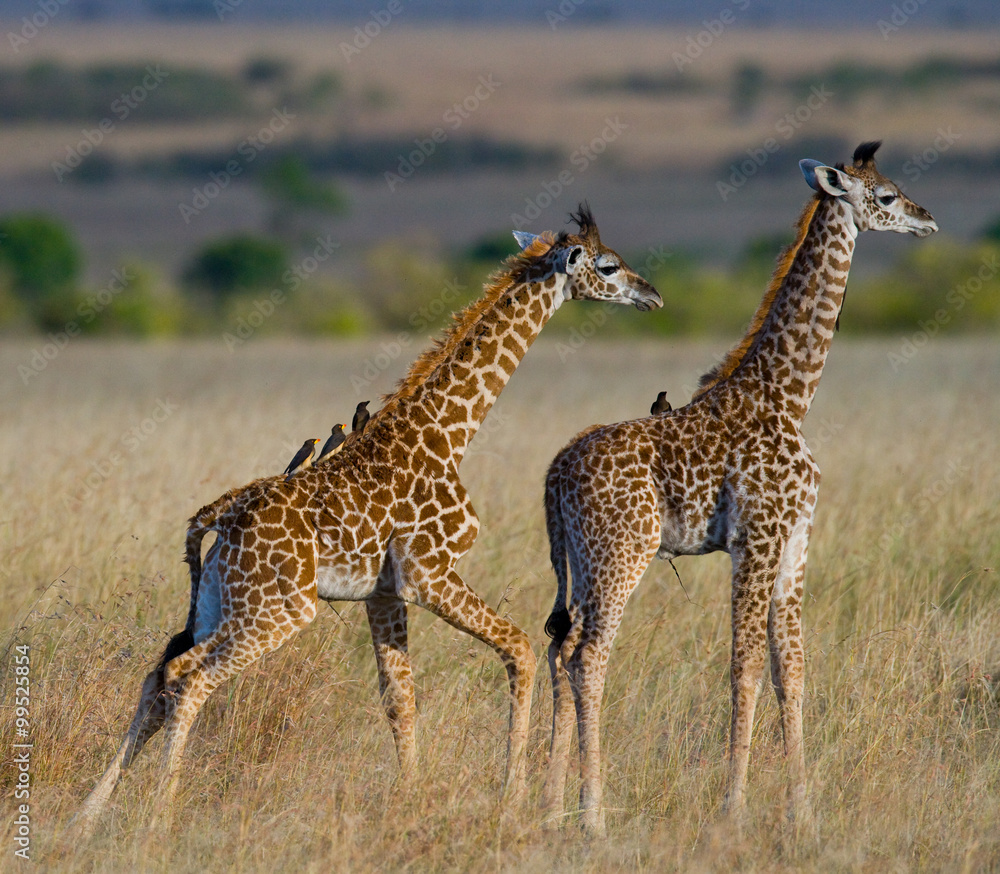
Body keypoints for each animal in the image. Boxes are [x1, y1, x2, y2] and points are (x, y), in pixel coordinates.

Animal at [77, 206, 662, 830]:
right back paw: (160, 814)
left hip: (218, 601)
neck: (449, 434)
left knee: (158, 674)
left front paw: (411, 798)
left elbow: (399, 698)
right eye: (608, 265)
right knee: (189, 679)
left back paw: (87, 813)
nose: (652, 294)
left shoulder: (382, 592)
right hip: (279, 610)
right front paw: (511, 797)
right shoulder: (429, 573)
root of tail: (218, 516)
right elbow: (519, 648)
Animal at [540, 143, 937, 834]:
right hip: (623, 554)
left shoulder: (796, 541)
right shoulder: (756, 538)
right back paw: (593, 817)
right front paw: (734, 809)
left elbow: (792, 670)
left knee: (562, 652)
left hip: (580, 561)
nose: (927, 219)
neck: (790, 394)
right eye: (885, 196)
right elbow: (744, 667)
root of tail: (556, 472)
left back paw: (553, 807)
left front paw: (802, 811)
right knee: (589, 658)